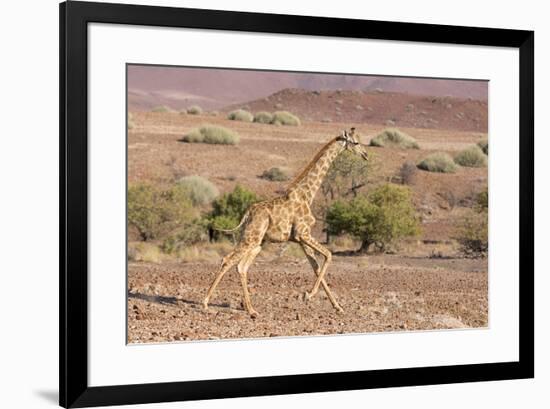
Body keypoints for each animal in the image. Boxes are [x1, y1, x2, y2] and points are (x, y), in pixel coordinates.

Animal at [203, 126, 370, 316]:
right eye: (355, 142)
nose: (365, 155)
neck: (308, 194)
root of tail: (248, 212)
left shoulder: (301, 239)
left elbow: (316, 267)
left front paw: (337, 306)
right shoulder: (303, 234)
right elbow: (328, 255)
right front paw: (308, 295)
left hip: (257, 242)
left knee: (241, 267)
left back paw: (251, 309)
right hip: (251, 239)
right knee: (227, 260)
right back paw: (206, 303)